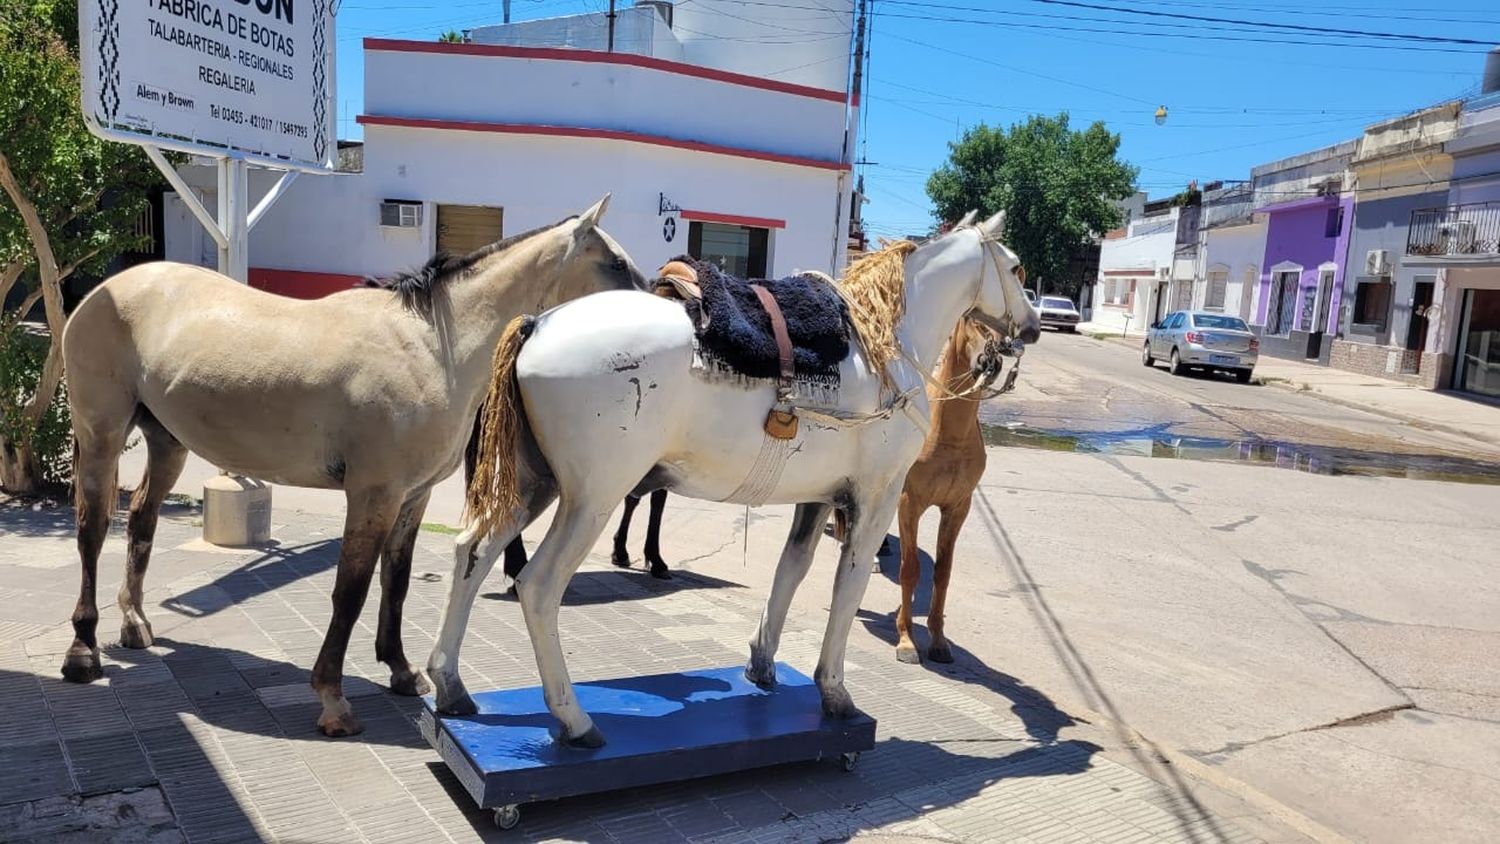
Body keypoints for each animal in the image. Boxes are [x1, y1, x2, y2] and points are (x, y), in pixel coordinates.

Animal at [61, 194, 645, 737]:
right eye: (614, 263)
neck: (434, 348)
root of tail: (103, 292)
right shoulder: (373, 493)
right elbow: (352, 588)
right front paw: (333, 699)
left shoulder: (413, 496)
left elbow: (397, 581)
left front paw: (403, 671)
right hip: (101, 434)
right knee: (92, 531)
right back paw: (83, 651)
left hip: (166, 441)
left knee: (141, 520)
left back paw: (134, 623)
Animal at [435, 211, 1044, 746]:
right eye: (1016, 268)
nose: (1033, 328)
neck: (884, 345)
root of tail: (538, 323)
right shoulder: (876, 498)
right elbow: (848, 588)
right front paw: (834, 692)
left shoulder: (818, 499)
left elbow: (790, 572)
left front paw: (762, 665)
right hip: (591, 498)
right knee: (538, 587)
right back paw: (573, 720)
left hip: (534, 485)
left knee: (472, 552)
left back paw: (450, 686)